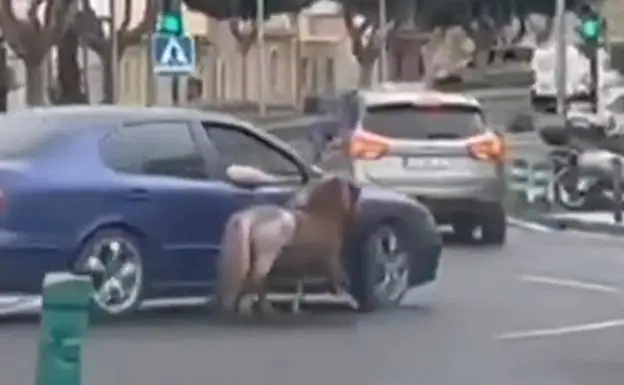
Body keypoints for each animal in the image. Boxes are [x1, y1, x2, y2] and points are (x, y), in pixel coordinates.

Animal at [216, 174, 360, 316]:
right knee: (253, 282)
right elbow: (339, 279)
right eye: (352, 190)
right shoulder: (331, 259)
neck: (323, 217)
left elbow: (300, 285)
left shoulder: (304, 266)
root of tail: (246, 217)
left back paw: (266, 310)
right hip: (265, 258)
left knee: (257, 285)